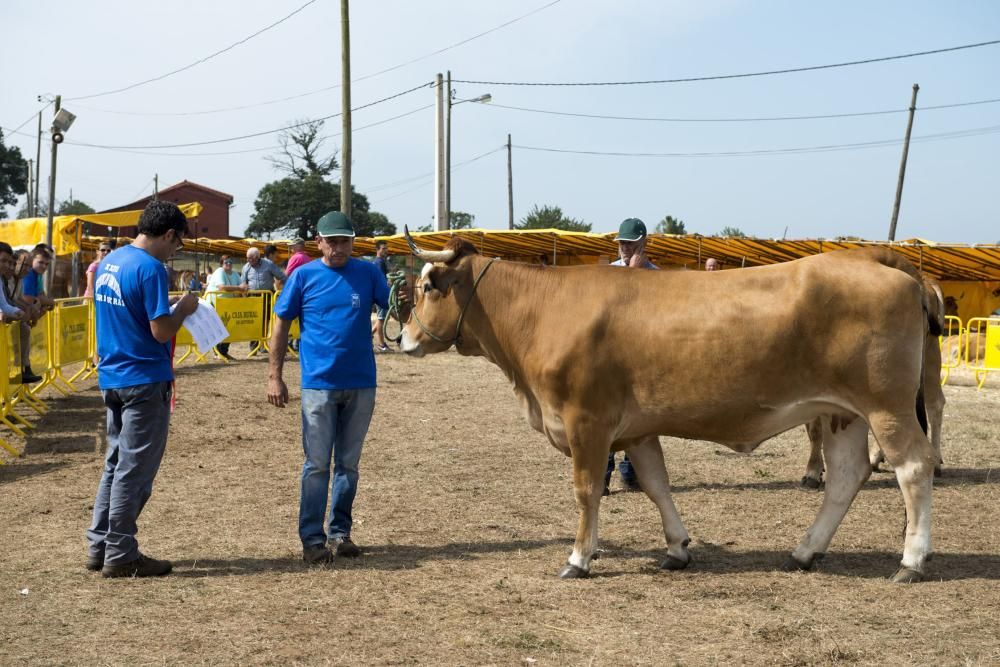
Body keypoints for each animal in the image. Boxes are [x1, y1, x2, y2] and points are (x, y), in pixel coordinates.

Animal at [398, 236, 936, 584]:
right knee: (845, 476)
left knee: (913, 467)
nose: (403, 339)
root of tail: (872, 255)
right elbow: (656, 484)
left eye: (426, 287)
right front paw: (677, 548)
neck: (543, 309)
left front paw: (579, 557)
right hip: (841, 412)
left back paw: (910, 560)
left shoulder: (586, 422)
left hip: (886, 406)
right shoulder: (636, 428)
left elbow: (586, 491)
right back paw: (805, 551)